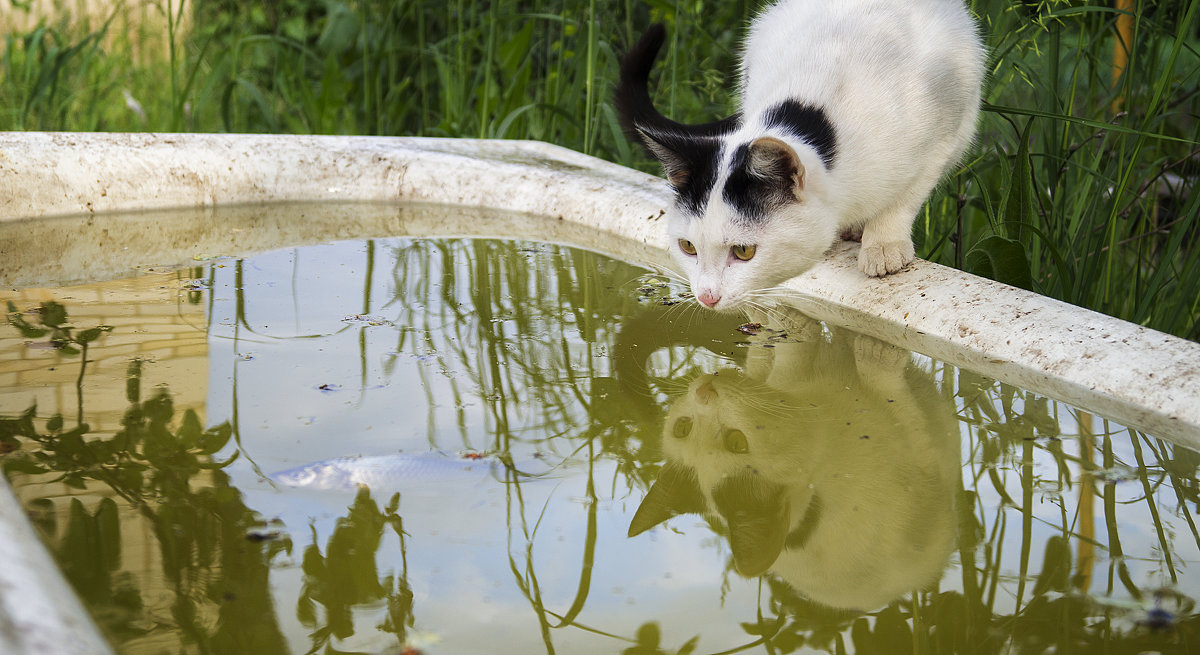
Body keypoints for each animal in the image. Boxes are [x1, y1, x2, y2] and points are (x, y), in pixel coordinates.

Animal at [619, 0, 984, 311]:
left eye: (743, 251)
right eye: (688, 247)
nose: (707, 297)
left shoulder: (942, 132)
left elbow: (905, 197)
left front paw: (883, 245)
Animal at [628, 309, 955, 609]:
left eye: (681, 427)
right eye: (737, 442)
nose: (705, 392)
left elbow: (768, 362)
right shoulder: (926, 468)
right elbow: (892, 397)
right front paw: (875, 356)